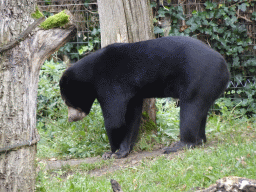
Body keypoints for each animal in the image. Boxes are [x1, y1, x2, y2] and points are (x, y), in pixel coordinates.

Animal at [59, 36, 230, 159]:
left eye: (68, 102)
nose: (70, 118)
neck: (89, 76)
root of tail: (225, 68)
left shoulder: (109, 84)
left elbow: (114, 120)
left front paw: (110, 152)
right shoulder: (133, 93)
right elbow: (132, 117)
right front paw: (123, 150)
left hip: (199, 79)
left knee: (190, 110)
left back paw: (180, 145)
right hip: (207, 86)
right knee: (201, 112)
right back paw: (200, 140)